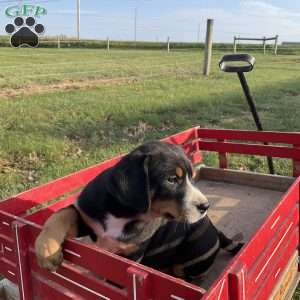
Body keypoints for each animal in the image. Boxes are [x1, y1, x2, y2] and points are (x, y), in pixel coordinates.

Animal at [35, 142, 243, 280]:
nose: (205, 206)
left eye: (192, 177)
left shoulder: (132, 254)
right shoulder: (87, 218)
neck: (124, 212)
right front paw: (47, 251)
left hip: (191, 257)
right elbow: (60, 214)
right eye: (172, 180)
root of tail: (216, 230)